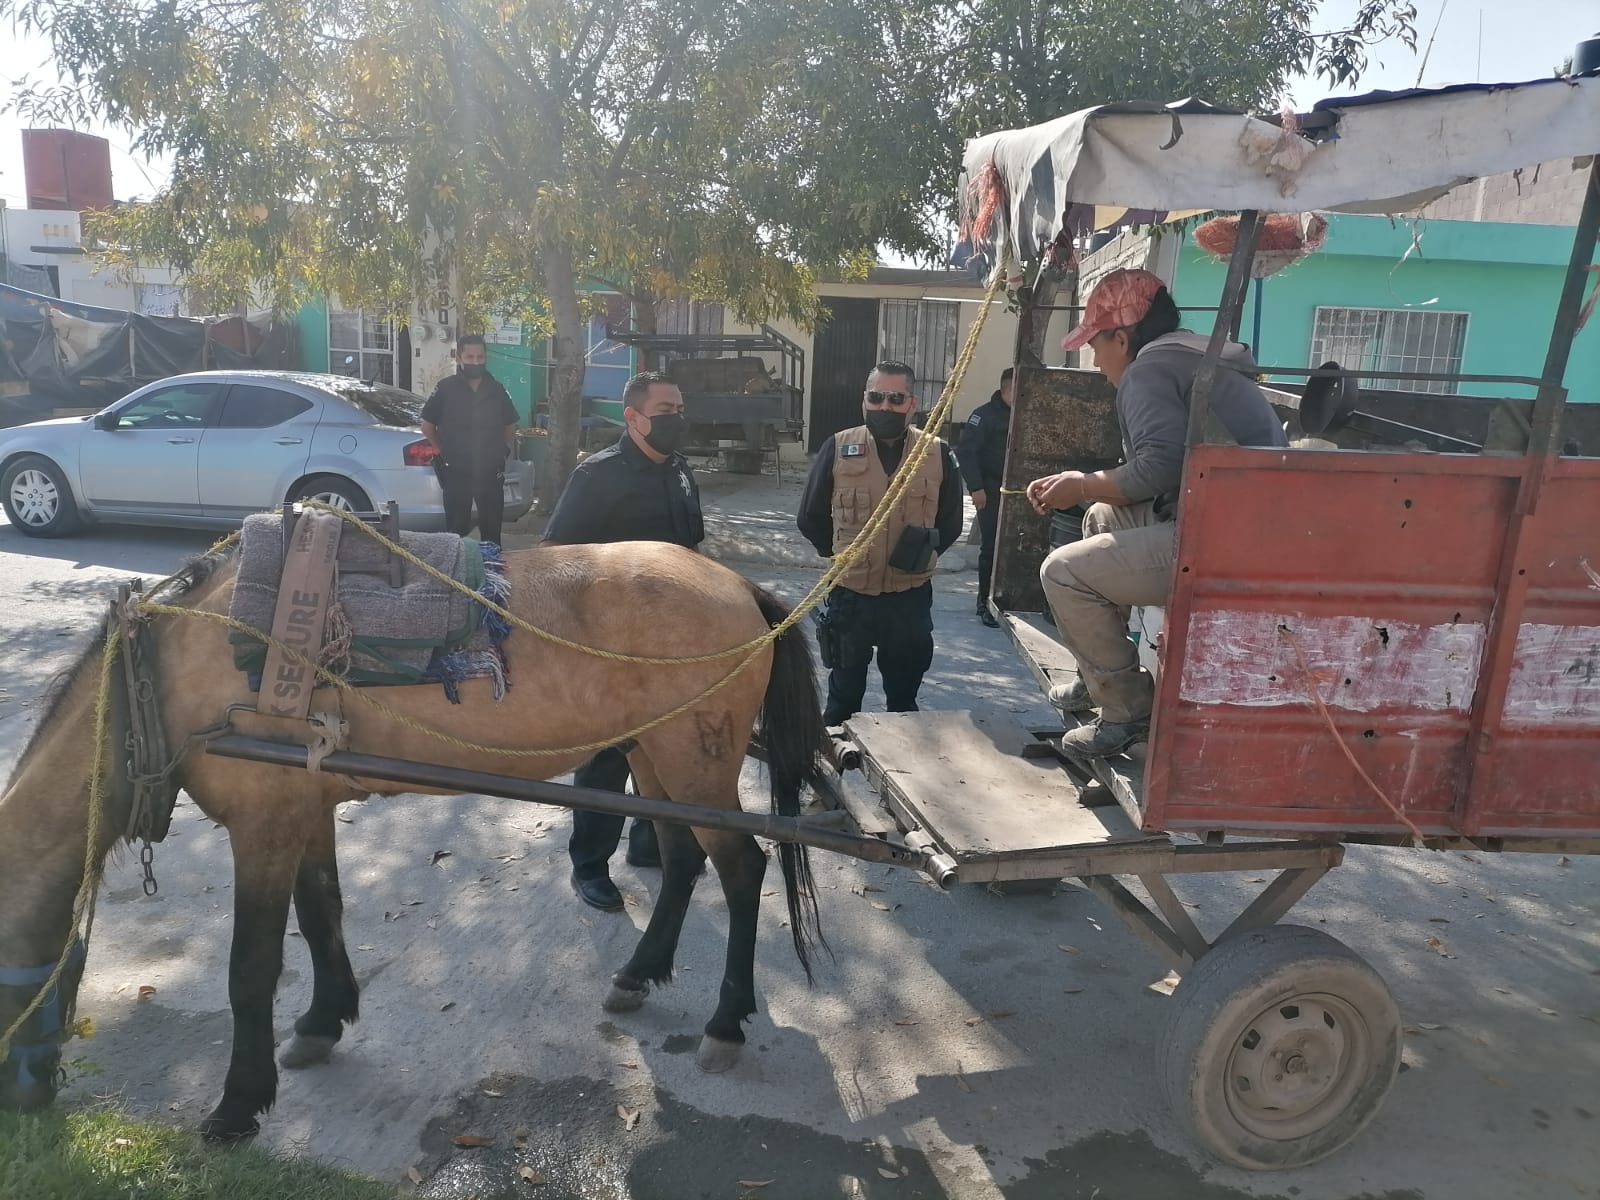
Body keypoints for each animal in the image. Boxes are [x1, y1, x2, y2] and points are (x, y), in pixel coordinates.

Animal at [0, 540, 825, 1139]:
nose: (22, 1101)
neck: (164, 681)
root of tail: (741, 588)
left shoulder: (263, 824)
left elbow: (250, 970)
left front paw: (237, 1107)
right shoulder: (305, 807)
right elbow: (321, 914)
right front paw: (323, 1020)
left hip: (695, 762)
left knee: (744, 870)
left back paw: (726, 1022)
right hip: (656, 757)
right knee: (685, 861)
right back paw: (638, 975)